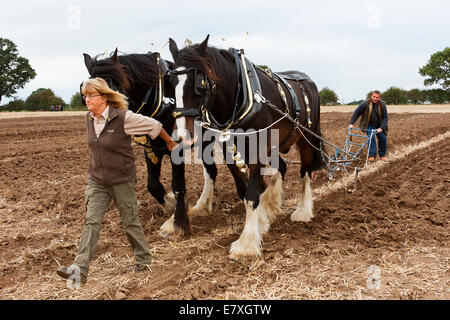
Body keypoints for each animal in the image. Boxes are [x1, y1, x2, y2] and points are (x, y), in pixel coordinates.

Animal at [82, 48, 248, 238]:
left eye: (112, 89)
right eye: (85, 94)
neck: (162, 100)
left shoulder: (177, 149)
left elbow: (178, 185)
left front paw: (178, 222)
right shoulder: (151, 149)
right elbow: (152, 184)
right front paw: (169, 204)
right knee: (212, 171)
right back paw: (203, 206)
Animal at [167, 36, 326, 258]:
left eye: (198, 83)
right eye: (171, 82)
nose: (182, 134)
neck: (241, 96)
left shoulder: (257, 150)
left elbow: (251, 196)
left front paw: (246, 243)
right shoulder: (229, 150)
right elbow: (244, 191)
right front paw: (260, 222)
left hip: (306, 137)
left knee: (305, 171)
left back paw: (302, 211)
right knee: (283, 167)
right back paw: (271, 206)